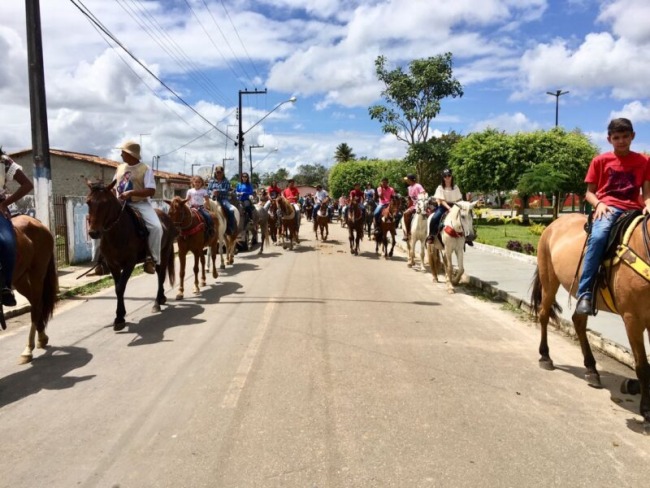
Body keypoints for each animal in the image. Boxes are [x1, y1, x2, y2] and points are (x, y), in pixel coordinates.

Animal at [0, 215, 57, 364]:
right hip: (20, 280)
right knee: (36, 303)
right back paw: (42, 337)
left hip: (37, 274)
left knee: (36, 307)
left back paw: (28, 349)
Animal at [86, 182, 178, 332]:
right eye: (88, 202)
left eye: (106, 203)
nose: (94, 232)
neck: (117, 232)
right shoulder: (113, 265)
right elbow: (118, 288)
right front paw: (120, 317)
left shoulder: (130, 263)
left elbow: (120, 287)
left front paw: (119, 318)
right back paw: (161, 298)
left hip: (163, 252)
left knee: (161, 274)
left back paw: (157, 302)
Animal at [528, 214, 648, 430]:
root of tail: (555, 222)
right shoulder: (632, 318)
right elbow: (642, 365)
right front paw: (646, 410)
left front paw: (633, 387)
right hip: (549, 277)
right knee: (544, 315)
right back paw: (545, 357)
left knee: (578, 321)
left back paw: (592, 369)